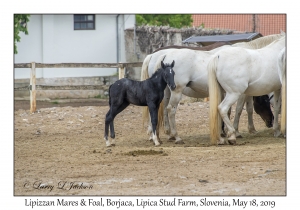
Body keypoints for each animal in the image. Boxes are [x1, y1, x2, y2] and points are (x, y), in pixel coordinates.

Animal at [142, 32, 284, 144]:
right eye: (265, 101)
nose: (270, 122)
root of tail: (161, 56)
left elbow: (244, 110)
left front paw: (229, 131)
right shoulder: (240, 93)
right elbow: (238, 110)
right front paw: (235, 131)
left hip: (167, 91)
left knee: (163, 109)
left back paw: (164, 135)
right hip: (176, 91)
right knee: (169, 109)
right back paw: (174, 137)